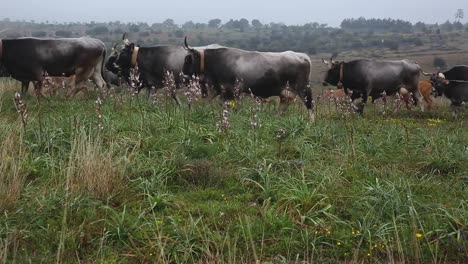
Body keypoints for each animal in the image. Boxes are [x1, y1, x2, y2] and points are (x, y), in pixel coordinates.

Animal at [183, 36, 314, 120]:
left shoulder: (230, 90)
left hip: (303, 89)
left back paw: (310, 124)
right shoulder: (219, 89)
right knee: (283, 106)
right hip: (286, 92)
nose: (183, 74)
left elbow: (229, 106)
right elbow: (208, 102)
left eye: (188, 59)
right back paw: (276, 119)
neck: (218, 60)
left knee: (310, 106)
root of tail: (301, 56)